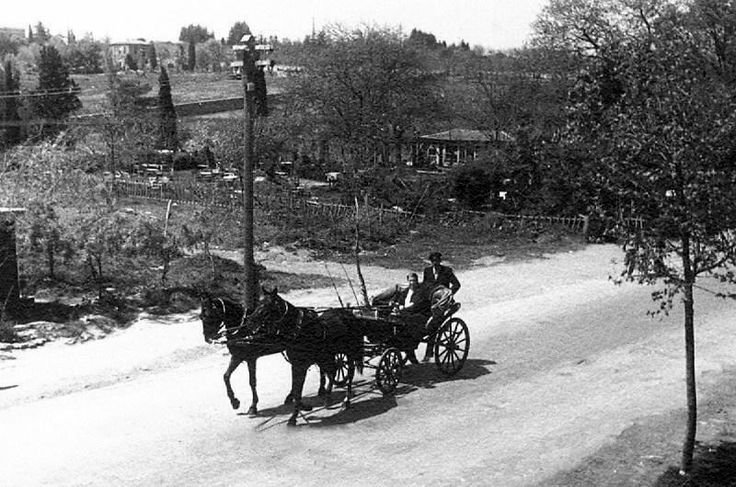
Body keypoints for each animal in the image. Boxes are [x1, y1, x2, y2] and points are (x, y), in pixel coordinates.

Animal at [198, 296, 330, 418]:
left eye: (209, 315)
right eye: (201, 316)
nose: (207, 338)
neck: (242, 328)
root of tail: (313, 313)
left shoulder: (251, 358)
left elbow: (252, 381)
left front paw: (253, 406)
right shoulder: (237, 356)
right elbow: (226, 376)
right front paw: (234, 402)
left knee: (320, 366)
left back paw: (321, 389)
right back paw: (293, 396)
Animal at [246, 288, 364, 426]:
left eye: (267, 305)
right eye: (259, 302)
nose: (249, 322)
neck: (299, 330)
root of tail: (349, 314)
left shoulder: (302, 365)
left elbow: (298, 389)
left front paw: (294, 416)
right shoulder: (295, 365)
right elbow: (296, 389)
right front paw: (297, 411)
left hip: (349, 352)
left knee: (349, 373)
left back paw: (346, 401)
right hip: (328, 356)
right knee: (333, 372)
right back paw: (328, 399)